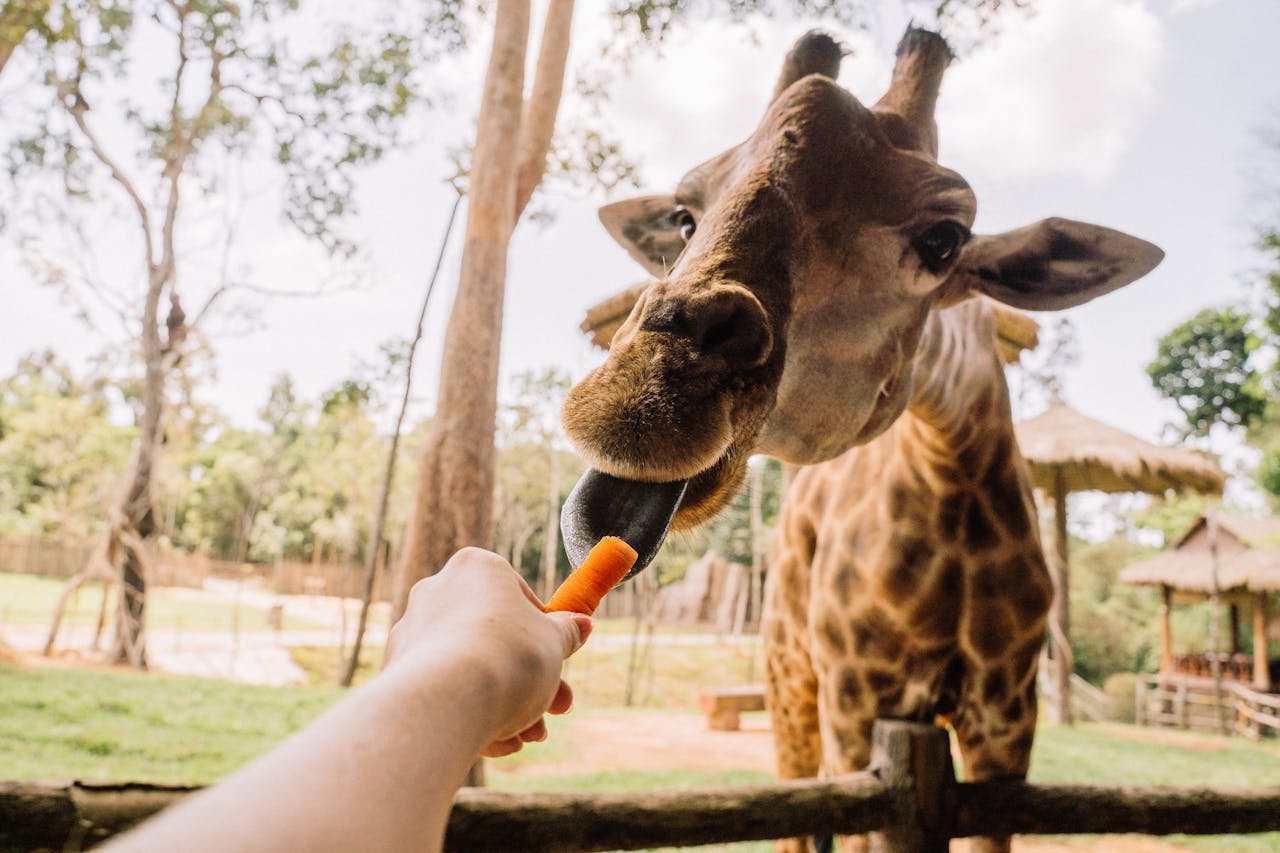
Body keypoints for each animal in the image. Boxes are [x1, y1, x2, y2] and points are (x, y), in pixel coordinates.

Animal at [558, 23, 1162, 845]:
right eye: (685, 216)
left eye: (945, 239)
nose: (637, 403)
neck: (952, 469)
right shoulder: (855, 697)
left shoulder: (1007, 719)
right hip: (790, 676)